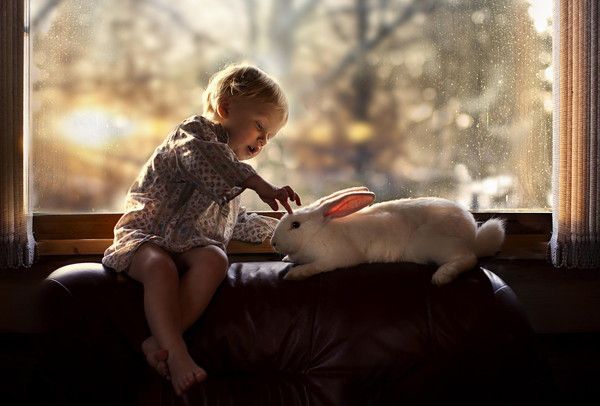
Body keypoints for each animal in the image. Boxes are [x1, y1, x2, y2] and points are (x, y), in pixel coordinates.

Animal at [272, 187, 506, 286]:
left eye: (295, 225)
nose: (273, 243)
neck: (317, 231)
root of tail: (472, 236)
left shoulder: (335, 258)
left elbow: (315, 266)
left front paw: (295, 274)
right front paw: (286, 259)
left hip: (432, 245)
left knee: (467, 258)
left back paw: (442, 277)